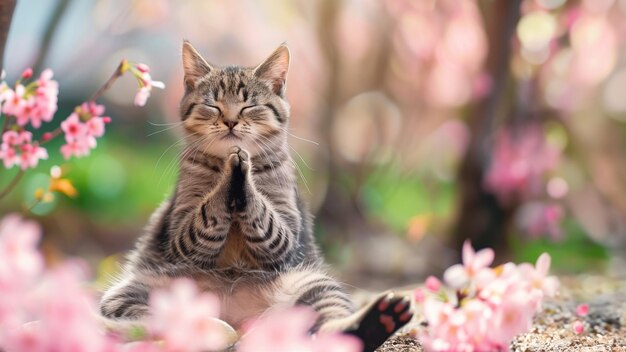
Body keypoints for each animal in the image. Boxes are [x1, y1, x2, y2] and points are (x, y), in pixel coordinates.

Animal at [98, 40, 410, 350]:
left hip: (314, 284)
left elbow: (264, 214)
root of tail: (239, 321)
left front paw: (241, 171)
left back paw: (377, 322)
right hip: (136, 291)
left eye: (249, 106)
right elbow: (205, 215)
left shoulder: (285, 232)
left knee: (334, 328)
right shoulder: (181, 233)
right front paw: (231, 172)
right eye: (212, 105)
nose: (230, 122)